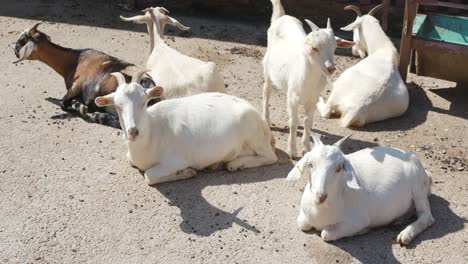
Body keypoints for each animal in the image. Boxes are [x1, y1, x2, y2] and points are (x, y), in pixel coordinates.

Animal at [12, 21, 154, 127]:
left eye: (22, 39)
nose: (15, 50)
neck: (75, 61)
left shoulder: (77, 85)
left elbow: (63, 103)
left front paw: (81, 107)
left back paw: (99, 116)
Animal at [95, 71, 278, 185]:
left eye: (144, 102)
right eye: (117, 106)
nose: (133, 132)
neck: (154, 131)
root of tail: (262, 122)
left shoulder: (175, 161)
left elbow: (149, 176)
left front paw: (187, 172)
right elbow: (130, 161)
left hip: (253, 134)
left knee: (270, 157)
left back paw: (236, 163)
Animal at [262, 0, 352, 158]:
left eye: (335, 48)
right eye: (315, 48)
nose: (330, 68)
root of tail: (282, 17)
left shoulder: (313, 99)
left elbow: (308, 122)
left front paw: (306, 148)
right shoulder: (292, 98)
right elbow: (293, 121)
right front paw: (292, 150)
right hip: (267, 69)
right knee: (266, 91)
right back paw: (266, 119)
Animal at [288, 134, 434, 245]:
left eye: (339, 168)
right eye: (310, 164)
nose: (320, 196)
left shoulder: (358, 220)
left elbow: (326, 233)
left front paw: (363, 231)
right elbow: (302, 223)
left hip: (418, 186)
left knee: (427, 216)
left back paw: (405, 235)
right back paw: (398, 220)